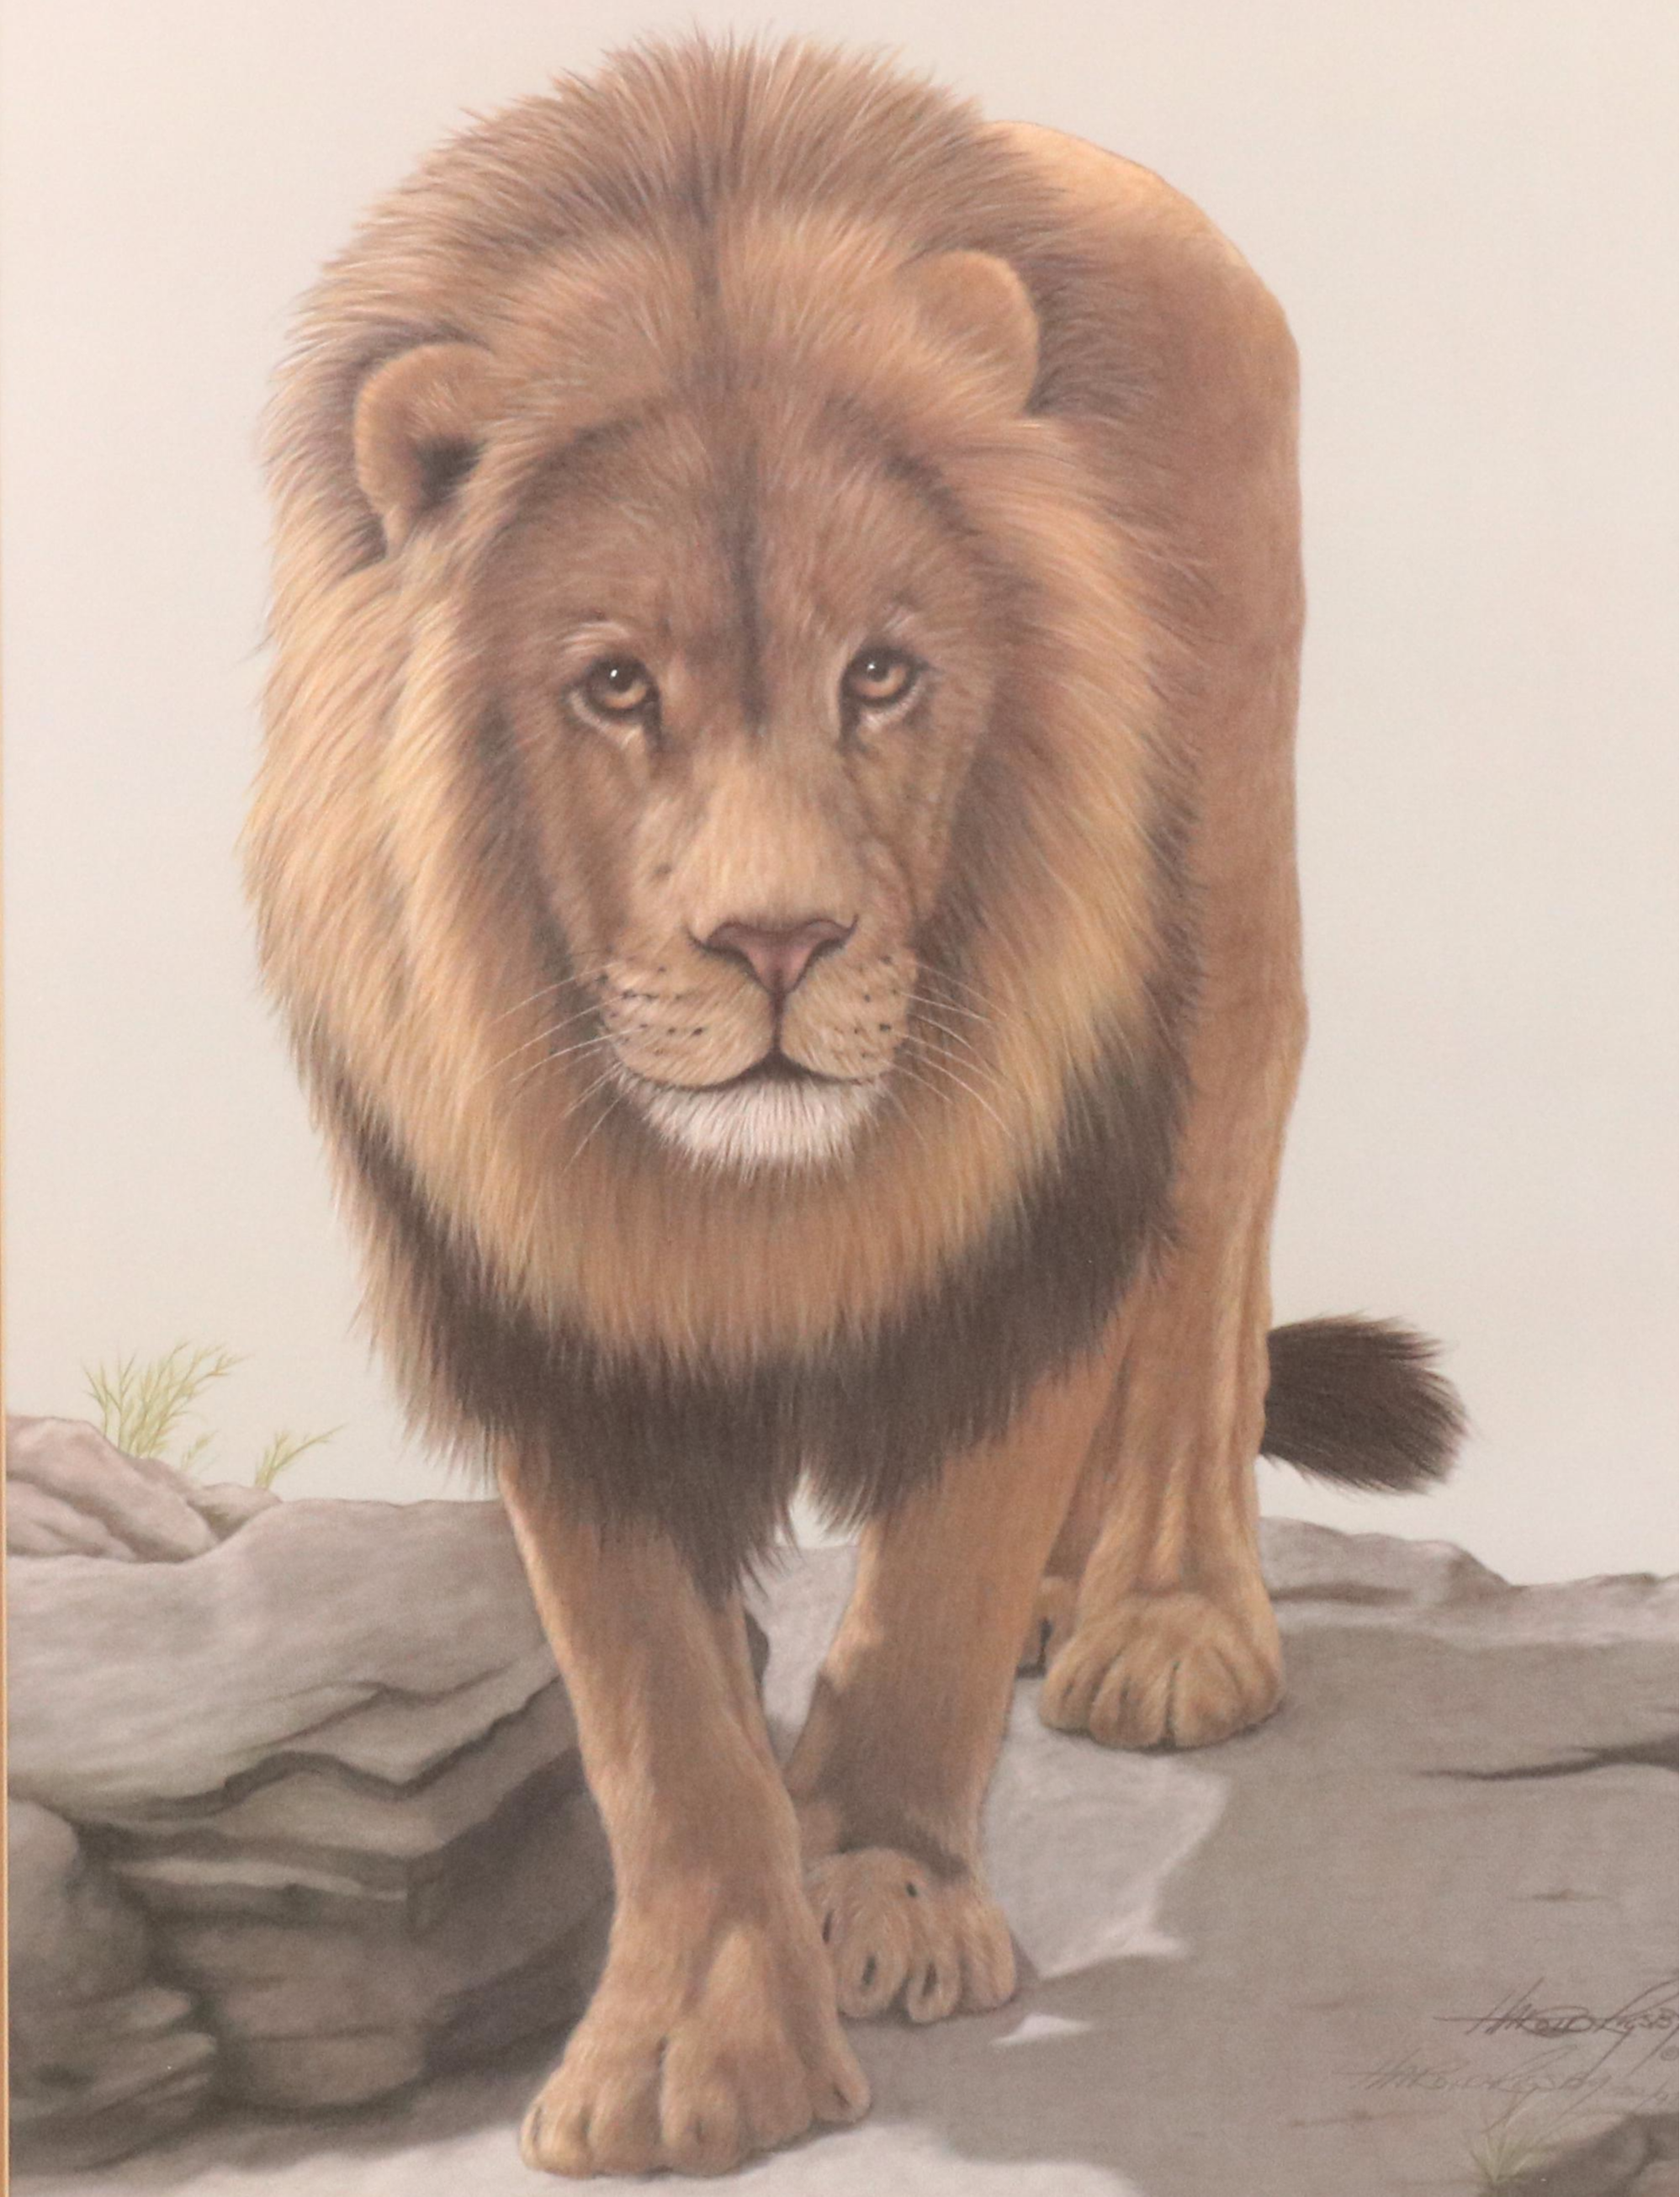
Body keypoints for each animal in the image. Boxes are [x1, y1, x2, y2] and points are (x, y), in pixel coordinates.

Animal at [245, 34, 1464, 2179]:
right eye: (616, 688)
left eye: (882, 677)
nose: (779, 942)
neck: (751, 1199)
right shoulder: (544, 1293)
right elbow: (649, 1707)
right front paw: (689, 2041)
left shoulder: (1034, 1186)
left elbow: (930, 1596)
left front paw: (882, 1890)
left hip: (1224, 899)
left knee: (1204, 1262)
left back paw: (1156, 1619)